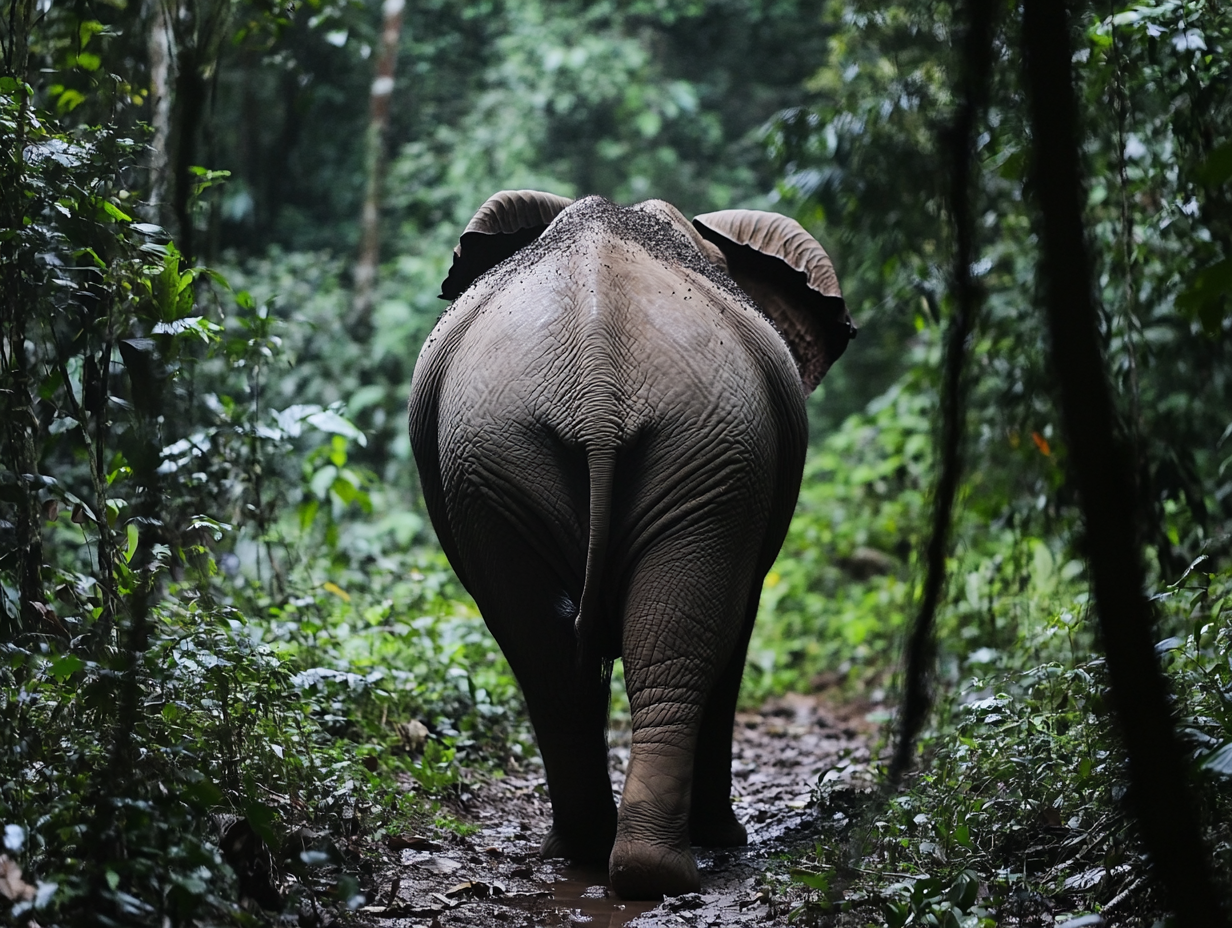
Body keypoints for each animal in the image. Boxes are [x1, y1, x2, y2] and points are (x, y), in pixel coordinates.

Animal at [408, 191, 855, 899]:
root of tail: (595, 383)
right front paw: (724, 837)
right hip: (670, 451)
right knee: (650, 641)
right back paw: (651, 866)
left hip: (518, 455)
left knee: (550, 651)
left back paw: (603, 857)